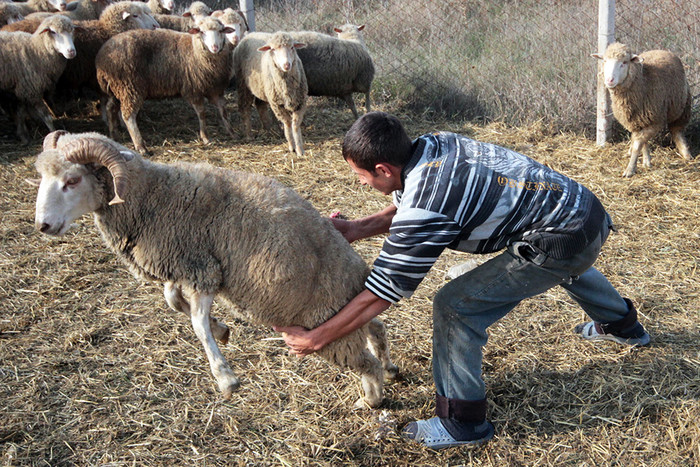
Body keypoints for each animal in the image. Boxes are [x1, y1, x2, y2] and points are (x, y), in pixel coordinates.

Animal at [0, 15, 75, 143]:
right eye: (53, 32)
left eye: (72, 31)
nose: (71, 51)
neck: (36, 50)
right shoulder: (31, 89)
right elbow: (47, 117)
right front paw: (53, 131)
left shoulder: (21, 88)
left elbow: (20, 113)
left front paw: (23, 135)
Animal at [32, 130, 400, 408]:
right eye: (43, 177)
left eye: (72, 180)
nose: (42, 226)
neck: (152, 195)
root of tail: (357, 273)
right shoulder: (185, 266)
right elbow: (173, 300)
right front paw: (221, 328)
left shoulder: (204, 271)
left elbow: (196, 323)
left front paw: (225, 377)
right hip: (348, 317)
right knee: (377, 328)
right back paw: (389, 365)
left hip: (327, 332)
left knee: (364, 364)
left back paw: (371, 400)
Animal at [95, 16, 235, 154]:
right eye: (202, 32)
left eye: (221, 31)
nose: (215, 47)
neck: (196, 50)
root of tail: (101, 57)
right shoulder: (193, 89)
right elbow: (201, 113)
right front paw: (205, 137)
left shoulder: (215, 89)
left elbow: (223, 110)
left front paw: (231, 131)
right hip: (130, 87)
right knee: (128, 116)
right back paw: (140, 146)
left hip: (116, 89)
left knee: (110, 108)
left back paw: (114, 135)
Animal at [592, 42, 696, 178]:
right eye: (604, 61)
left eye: (624, 62)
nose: (609, 80)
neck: (643, 82)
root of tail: (661, 50)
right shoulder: (636, 121)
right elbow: (641, 142)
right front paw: (646, 161)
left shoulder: (656, 122)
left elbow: (638, 143)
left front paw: (630, 169)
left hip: (682, 108)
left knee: (677, 131)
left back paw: (686, 154)